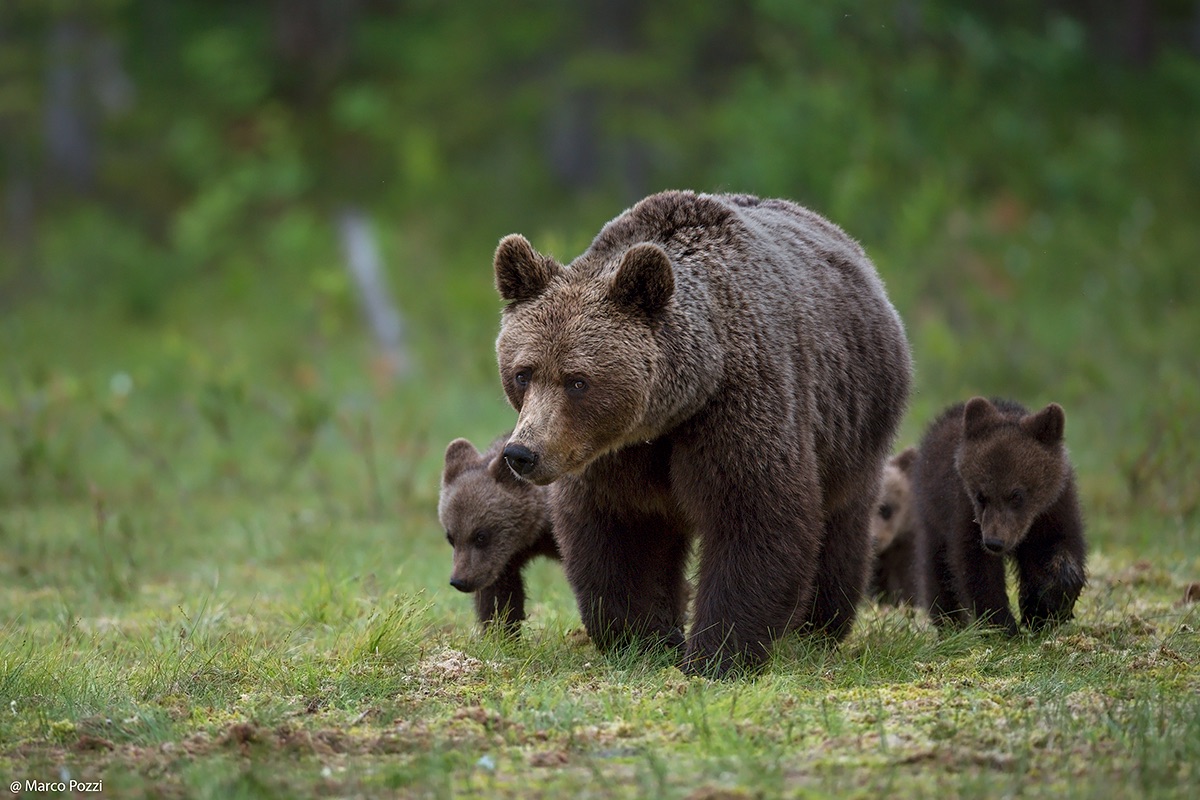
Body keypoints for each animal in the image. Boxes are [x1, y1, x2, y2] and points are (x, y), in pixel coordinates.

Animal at [438, 434, 560, 633]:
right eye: (451, 538)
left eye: (481, 536)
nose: (459, 581)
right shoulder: (504, 560)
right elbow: (499, 596)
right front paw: (501, 631)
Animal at [492, 190, 912, 676]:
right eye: (523, 373)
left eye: (578, 381)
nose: (523, 453)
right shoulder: (614, 455)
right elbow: (622, 532)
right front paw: (644, 641)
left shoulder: (738, 405)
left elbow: (755, 514)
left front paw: (717, 654)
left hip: (854, 417)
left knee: (843, 520)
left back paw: (818, 627)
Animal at [911, 397, 1088, 635]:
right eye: (981, 495)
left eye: (1016, 494)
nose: (994, 542)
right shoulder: (965, 511)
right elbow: (976, 567)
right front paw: (1003, 626)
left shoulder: (1055, 507)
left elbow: (1061, 546)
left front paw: (1047, 605)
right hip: (932, 516)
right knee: (937, 569)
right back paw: (950, 624)